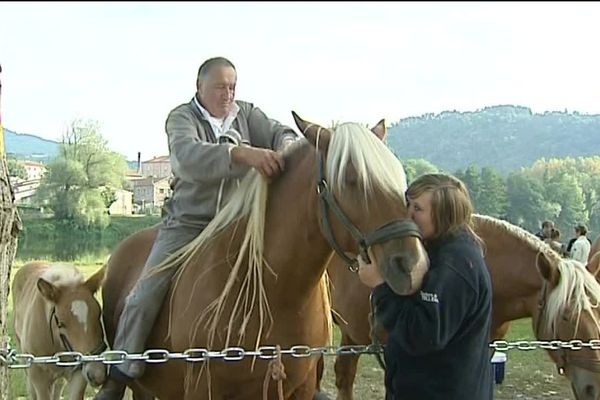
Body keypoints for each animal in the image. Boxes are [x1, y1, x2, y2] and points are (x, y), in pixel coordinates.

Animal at [101, 113, 428, 400]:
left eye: (399, 181)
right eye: (350, 178)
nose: (413, 266)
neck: (272, 294)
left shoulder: (301, 388)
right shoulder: (203, 390)